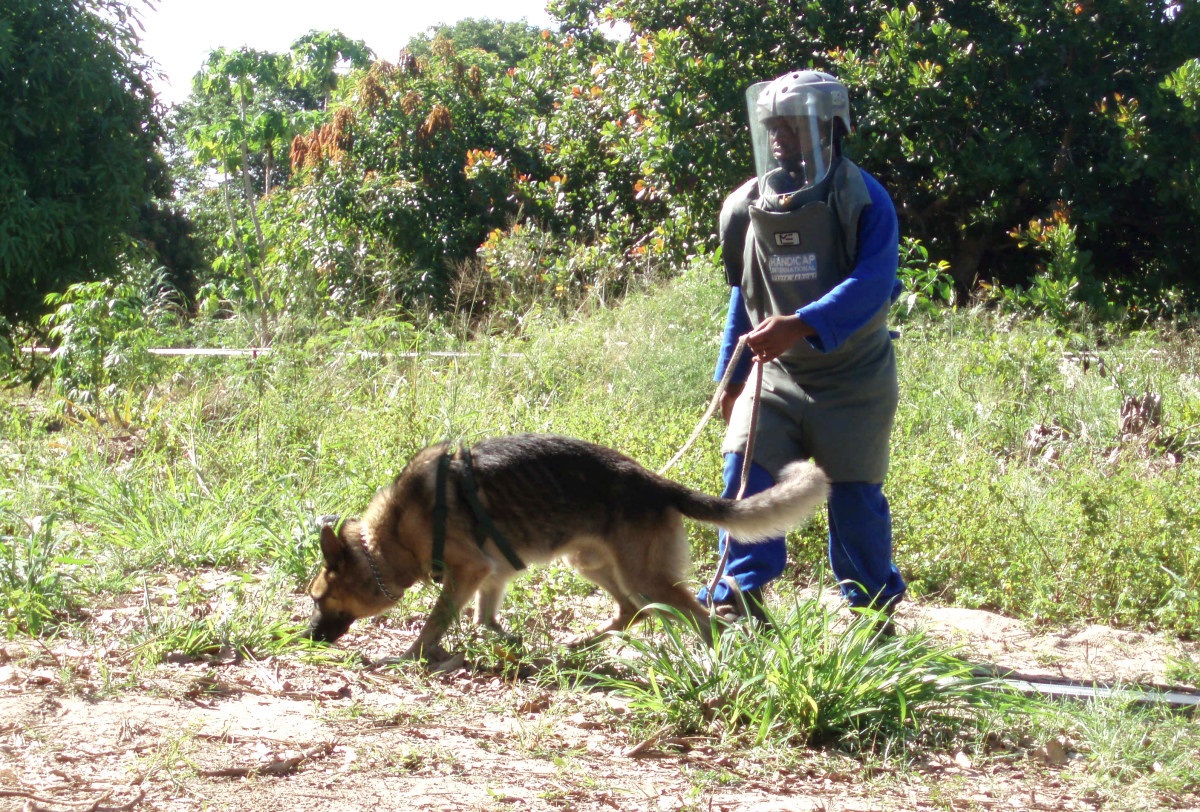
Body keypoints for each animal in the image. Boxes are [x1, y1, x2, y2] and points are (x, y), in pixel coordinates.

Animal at [307, 434, 825, 657]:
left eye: (317, 598)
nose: (308, 637)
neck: (392, 534)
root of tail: (656, 483)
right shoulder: (491, 574)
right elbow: (484, 619)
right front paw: (506, 641)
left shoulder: (468, 571)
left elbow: (437, 620)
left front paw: (411, 654)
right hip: (591, 563)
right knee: (631, 612)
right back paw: (579, 642)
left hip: (644, 577)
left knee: (707, 620)